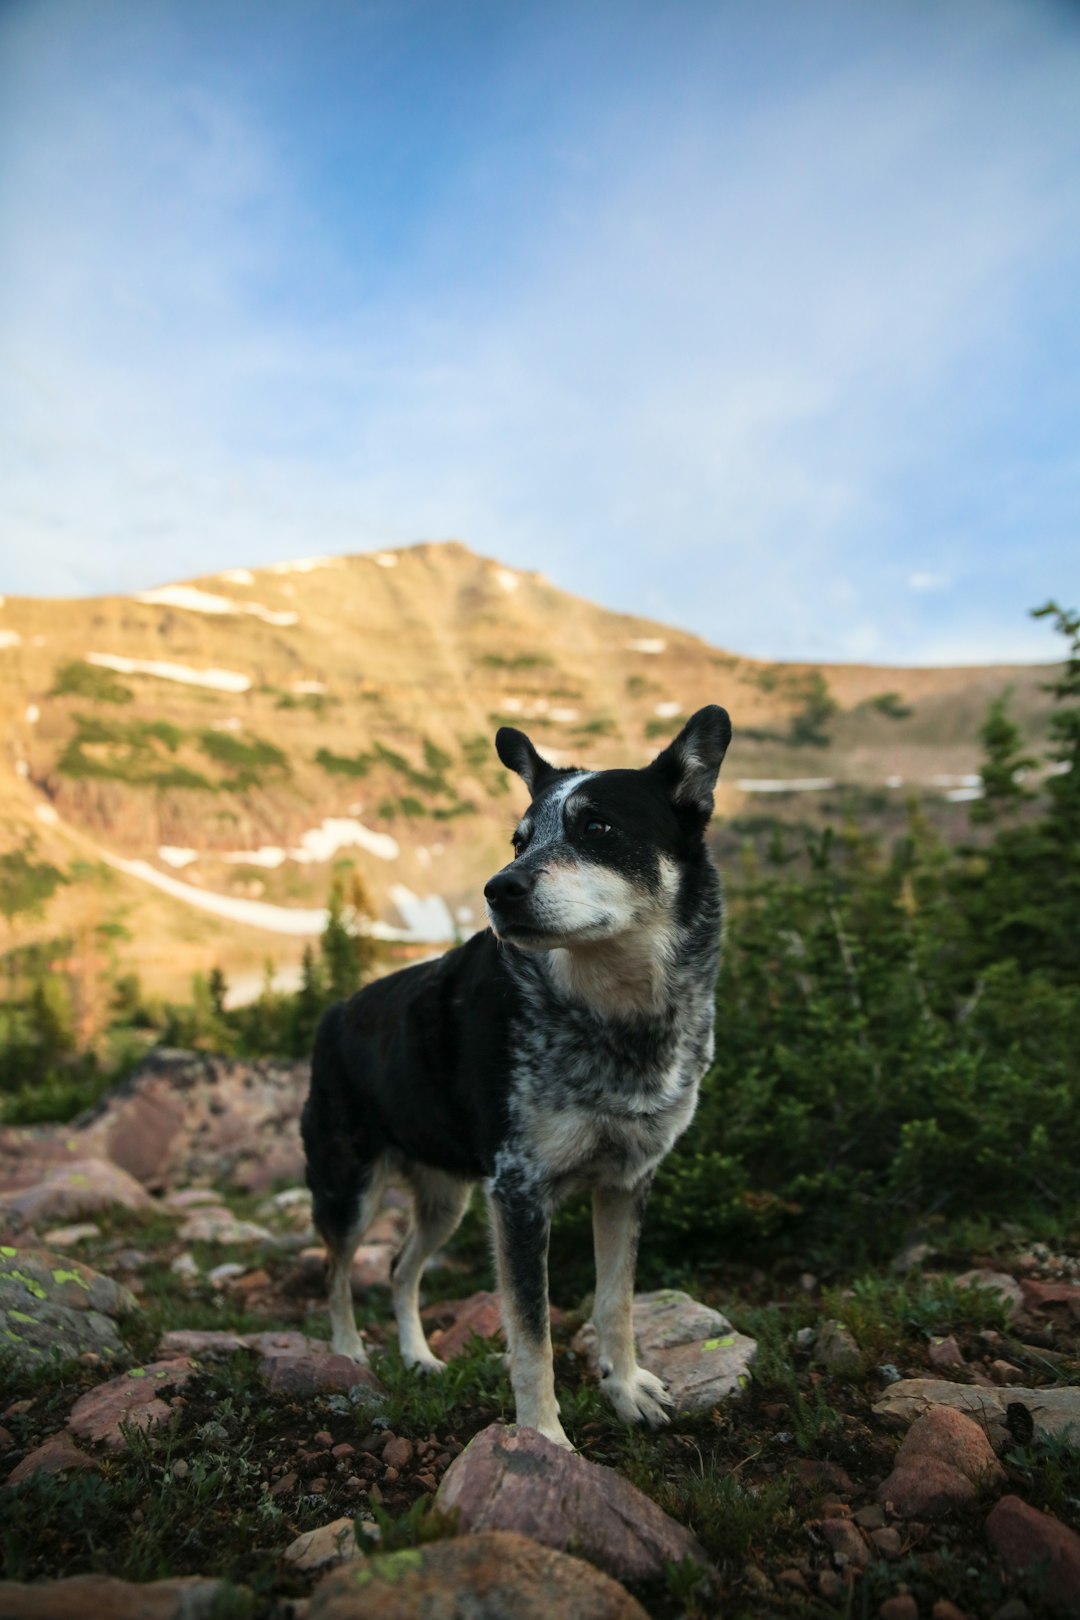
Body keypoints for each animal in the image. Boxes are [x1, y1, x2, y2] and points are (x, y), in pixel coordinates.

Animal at [299, 703, 731, 1451]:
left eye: (596, 827)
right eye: (518, 838)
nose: (498, 888)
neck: (617, 1015)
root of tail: (334, 1013)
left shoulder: (627, 1181)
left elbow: (616, 1301)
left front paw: (626, 1390)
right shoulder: (520, 1193)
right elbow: (532, 1338)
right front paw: (545, 1441)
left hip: (447, 1198)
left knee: (400, 1267)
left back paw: (417, 1356)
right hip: (348, 1186)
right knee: (337, 1268)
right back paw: (350, 1355)